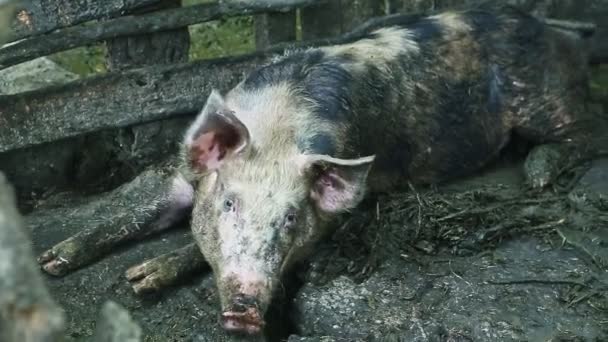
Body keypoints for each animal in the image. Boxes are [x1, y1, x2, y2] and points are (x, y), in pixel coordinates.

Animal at [36, 3, 600, 336]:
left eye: (291, 218)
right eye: (228, 202)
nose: (245, 308)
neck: (277, 130)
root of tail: (556, 30)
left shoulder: (334, 210)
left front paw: (142, 279)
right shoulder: (183, 175)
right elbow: (135, 212)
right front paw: (54, 262)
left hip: (546, 103)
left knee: (586, 132)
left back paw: (538, 174)